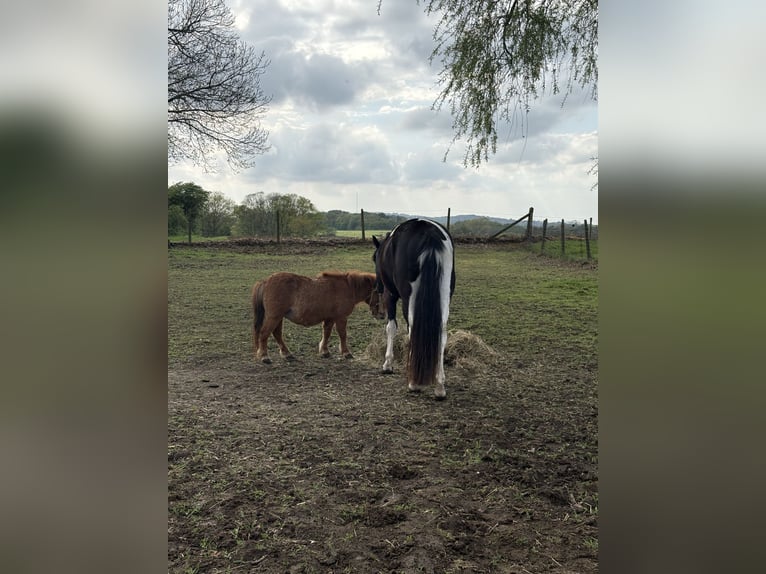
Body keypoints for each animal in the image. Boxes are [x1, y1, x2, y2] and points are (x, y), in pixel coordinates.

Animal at [252, 271, 385, 364]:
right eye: (380, 293)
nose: (382, 315)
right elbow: (342, 334)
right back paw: (264, 356)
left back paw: (287, 354)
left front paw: (324, 351)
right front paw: (346, 352)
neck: (349, 287)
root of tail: (265, 281)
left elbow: (326, 333)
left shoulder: (330, 318)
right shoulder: (341, 318)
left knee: (277, 334)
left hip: (278, 317)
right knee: (264, 333)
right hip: (274, 317)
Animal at [372, 218, 456, 399]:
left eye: (374, 258)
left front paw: (387, 364)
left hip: (407, 299)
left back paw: (414, 383)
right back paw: (439, 386)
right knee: (442, 333)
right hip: (445, 296)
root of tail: (429, 233)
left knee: (412, 329)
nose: (378, 286)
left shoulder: (390, 295)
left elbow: (391, 327)